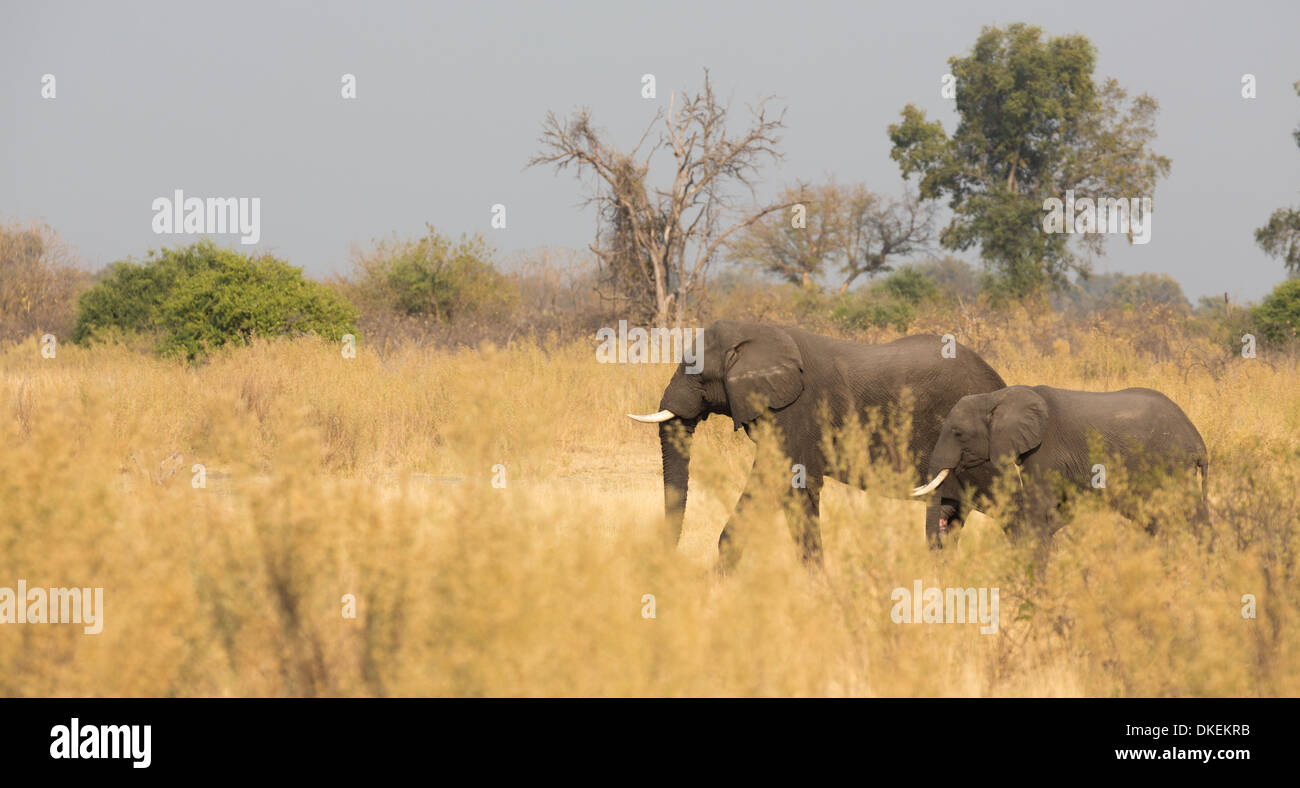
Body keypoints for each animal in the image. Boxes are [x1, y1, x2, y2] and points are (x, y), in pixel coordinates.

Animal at [915, 384, 1206, 546]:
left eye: (958, 433)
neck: (996, 397)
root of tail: (1198, 439)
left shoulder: (1045, 449)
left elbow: (1039, 505)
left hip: (1170, 463)